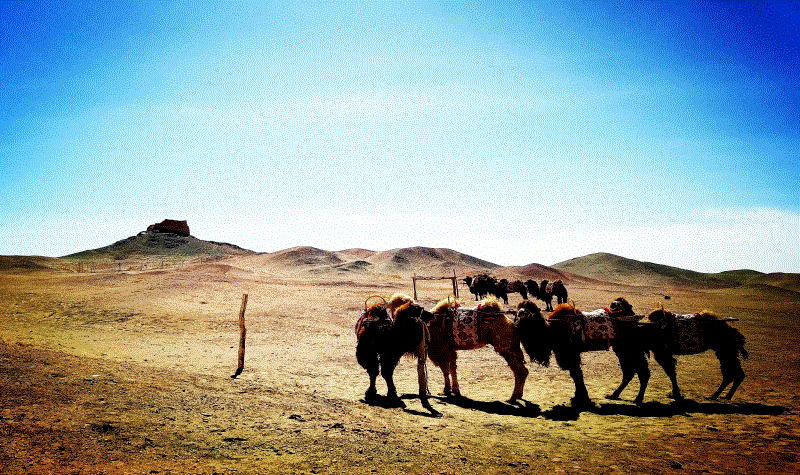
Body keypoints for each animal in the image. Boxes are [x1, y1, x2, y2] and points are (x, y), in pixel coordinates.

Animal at [424, 298, 552, 402]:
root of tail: (512, 324)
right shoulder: (450, 350)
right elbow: (452, 368)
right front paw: (455, 390)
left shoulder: (441, 349)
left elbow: (445, 370)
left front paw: (446, 390)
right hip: (513, 347)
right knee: (523, 370)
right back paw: (518, 395)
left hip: (505, 347)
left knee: (519, 371)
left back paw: (512, 397)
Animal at [516, 300, 652, 408]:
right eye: (517, 312)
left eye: (527, 313)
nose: (517, 321)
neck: (551, 332)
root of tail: (634, 320)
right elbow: (575, 374)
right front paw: (578, 396)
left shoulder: (570, 353)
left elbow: (577, 374)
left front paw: (582, 398)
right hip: (621, 348)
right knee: (629, 372)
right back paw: (613, 395)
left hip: (632, 347)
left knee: (643, 372)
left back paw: (638, 399)